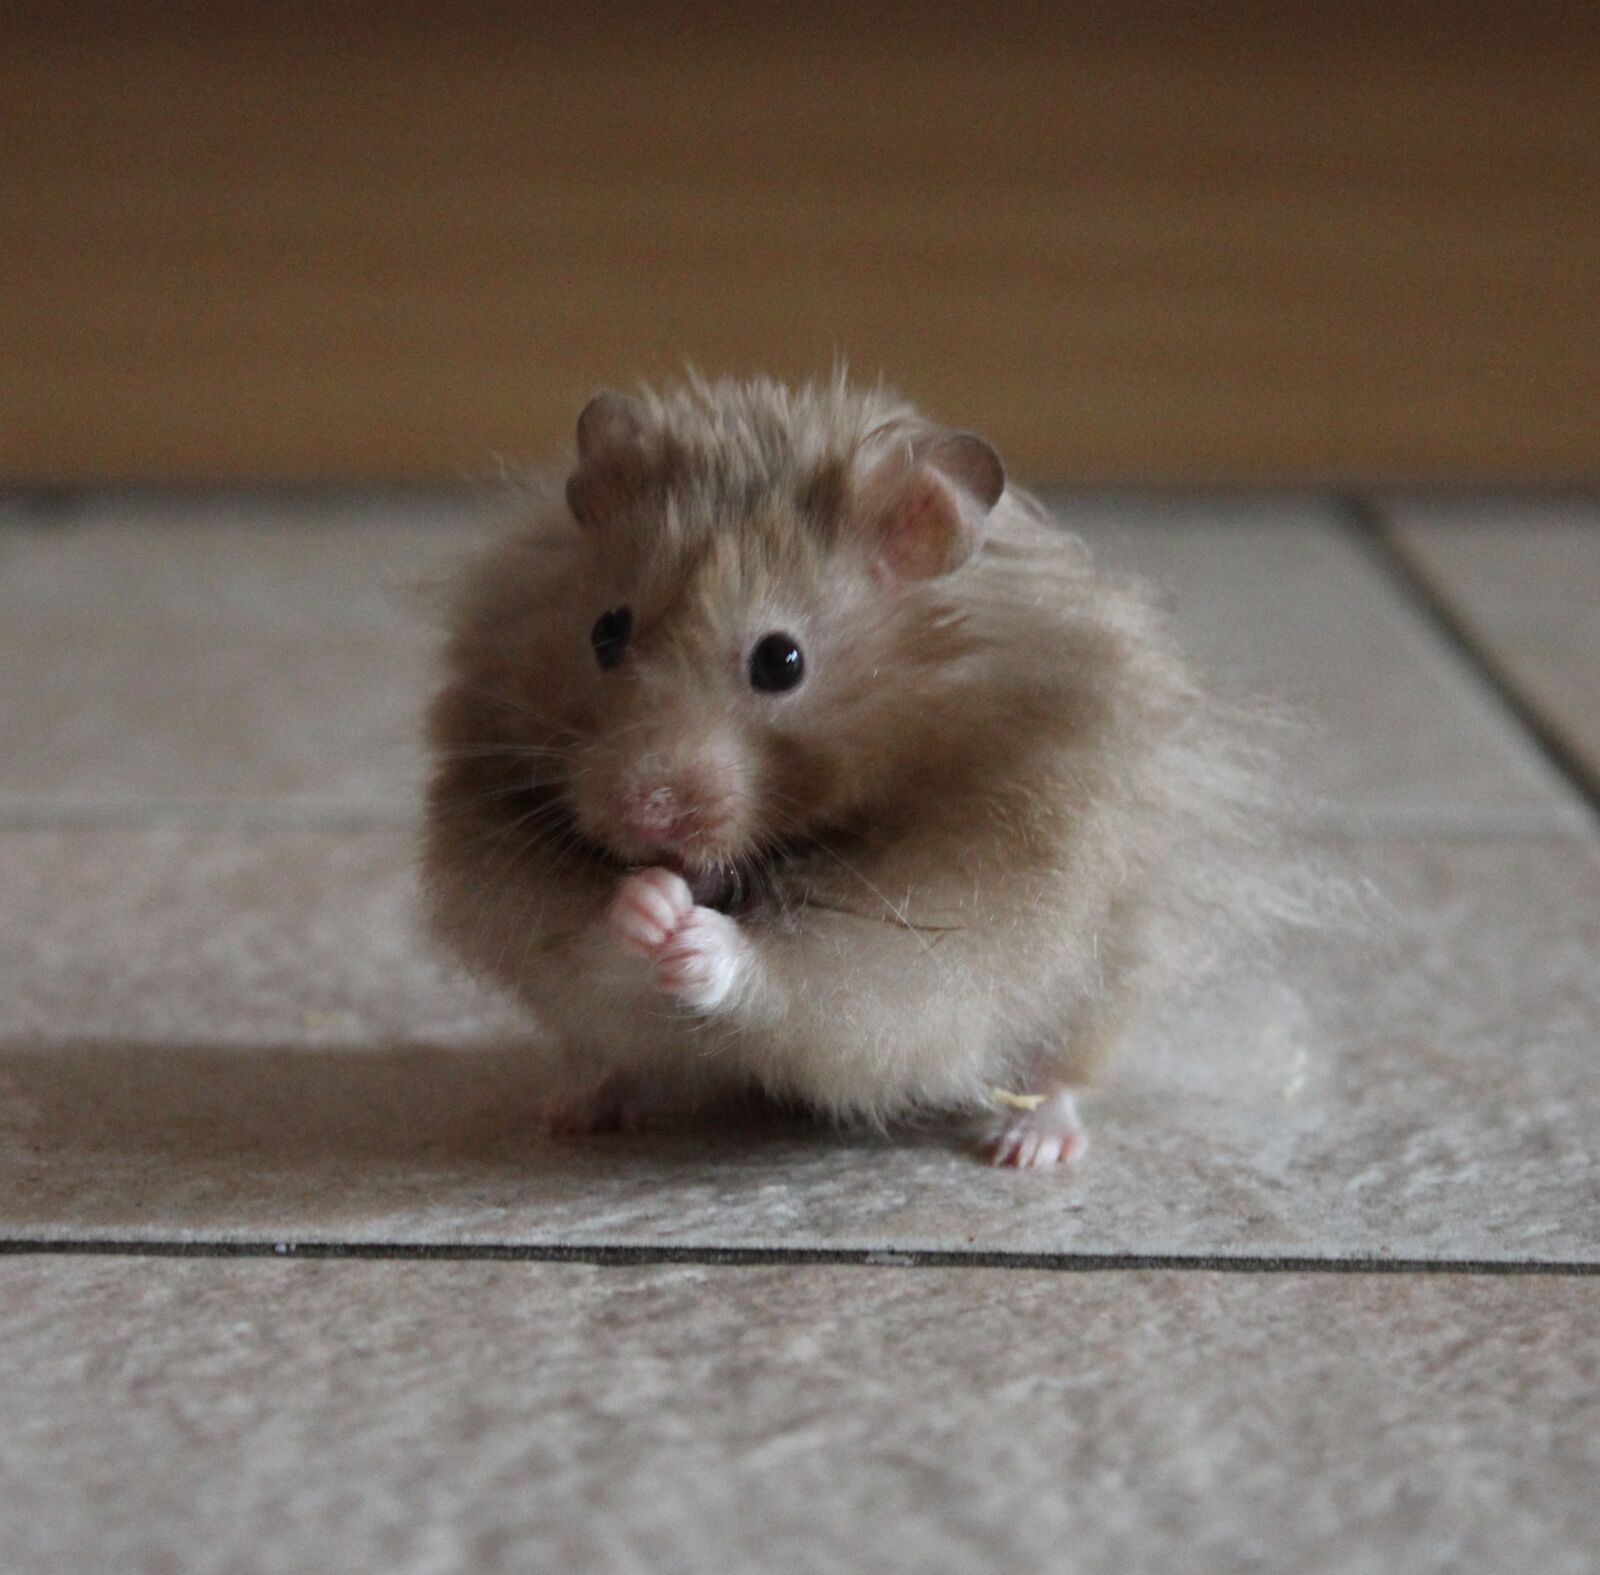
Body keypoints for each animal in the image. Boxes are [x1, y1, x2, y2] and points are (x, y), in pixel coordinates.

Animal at [422, 373, 1302, 1166]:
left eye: (782, 660)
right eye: (605, 632)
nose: (647, 810)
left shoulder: (945, 922)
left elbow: (796, 974)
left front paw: (694, 934)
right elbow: (589, 937)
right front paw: (646, 904)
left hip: (1108, 971)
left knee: (1061, 1071)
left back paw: (1029, 1147)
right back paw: (572, 1112)